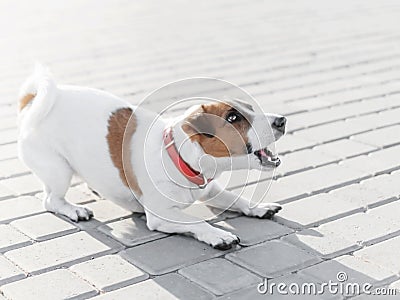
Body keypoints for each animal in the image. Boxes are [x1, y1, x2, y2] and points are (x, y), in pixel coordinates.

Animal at [18, 67, 286, 250]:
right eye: (233, 118)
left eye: (250, 108)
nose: (282, 120)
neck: (178, 156)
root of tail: (34, 102)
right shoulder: (161, 215)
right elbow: (196, 222)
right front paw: (218, 235)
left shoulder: (211, 190)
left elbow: (236, 199)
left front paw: (257, 207)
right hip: (58, 171)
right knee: (51, 200)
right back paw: (73, 209)